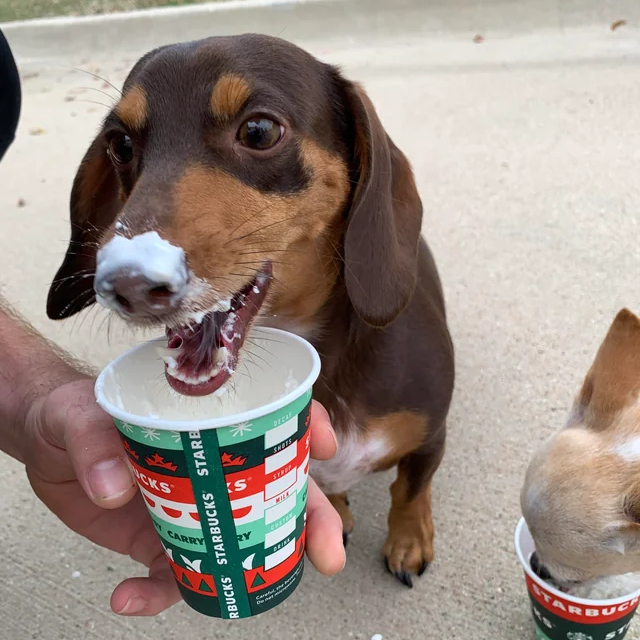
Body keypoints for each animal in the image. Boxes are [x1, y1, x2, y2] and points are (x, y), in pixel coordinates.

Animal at [46, 33, 456, 584]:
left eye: (259, 131)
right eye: (120, 144)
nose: (124, 284)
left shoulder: (431, 437)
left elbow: (410, 490)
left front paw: (409, 541)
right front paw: (337, 510)